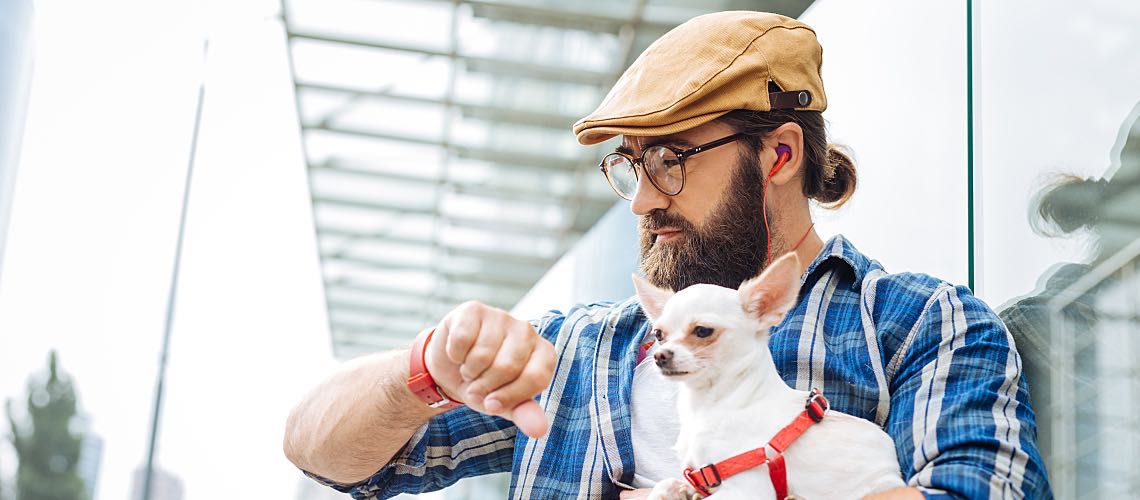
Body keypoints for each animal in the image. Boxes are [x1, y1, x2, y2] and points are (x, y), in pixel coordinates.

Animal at [638, 253, 902, 500]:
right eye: (658, 334)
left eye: (703, 331)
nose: (659, 355)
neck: (707, 405)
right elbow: (665, 484)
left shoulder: (745, 490)